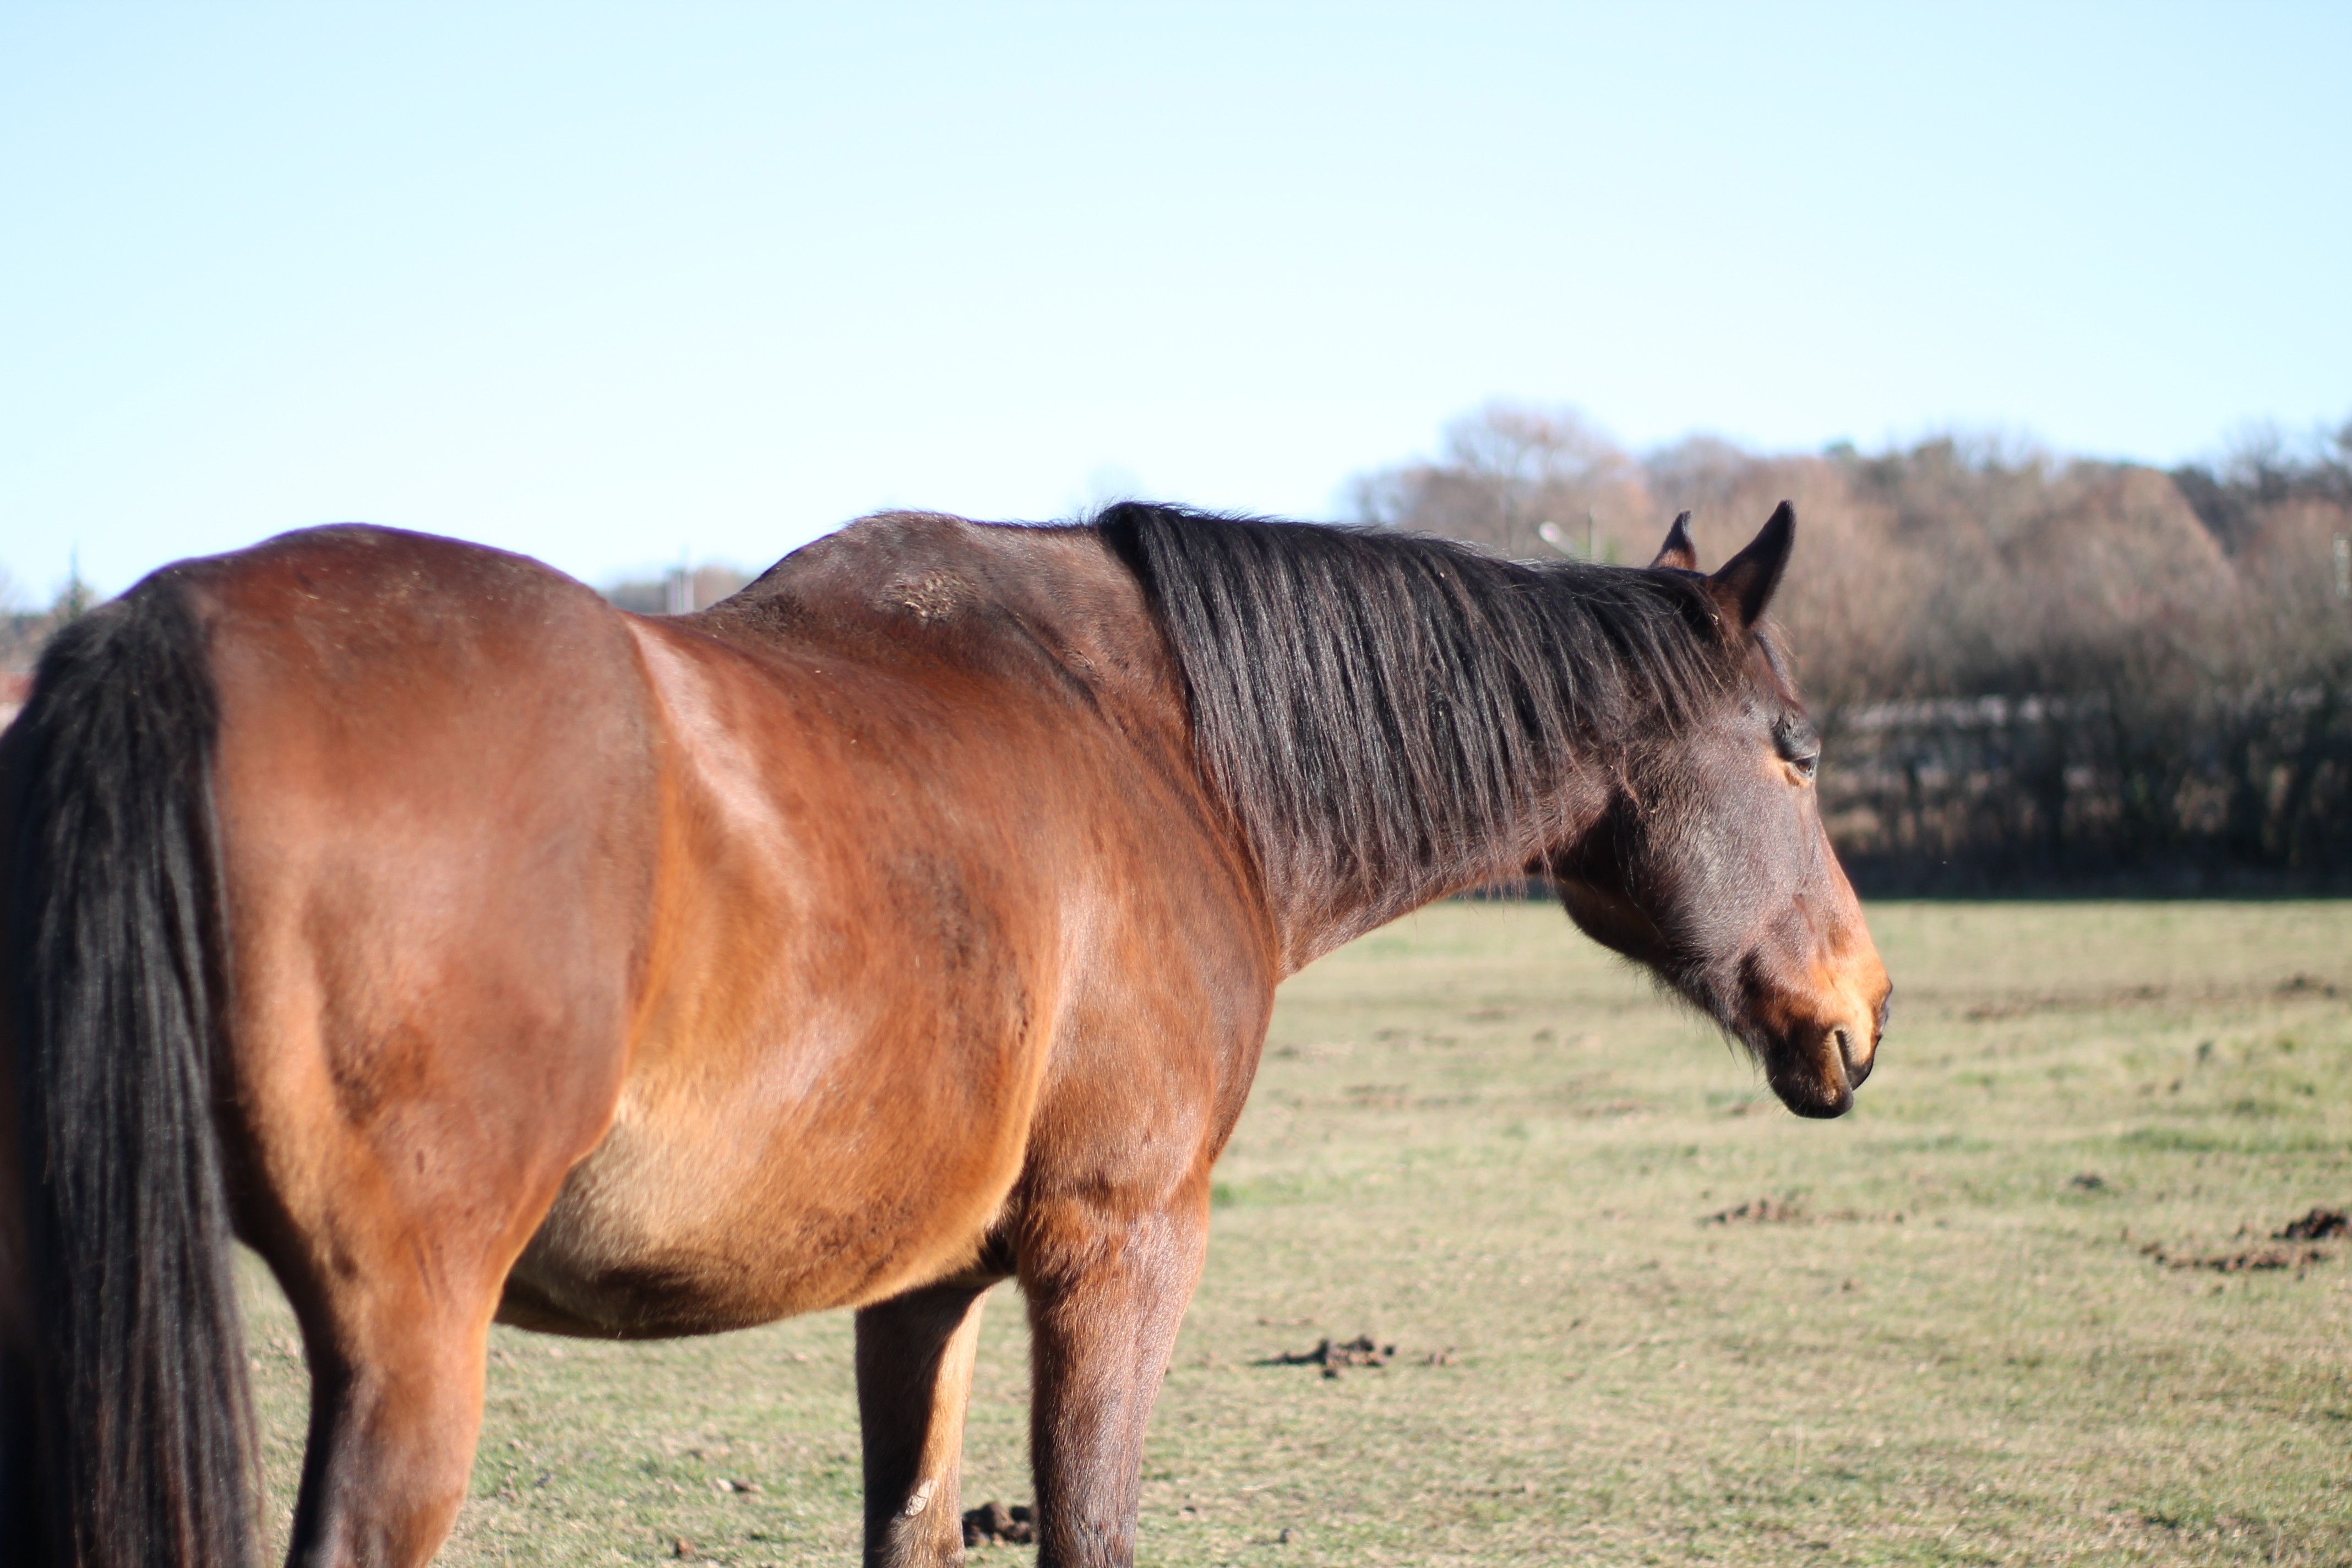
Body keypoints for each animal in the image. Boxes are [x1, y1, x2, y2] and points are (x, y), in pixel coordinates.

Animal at [0, 503, 1891, 1568]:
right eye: (1795, 748)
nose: (1860, 1012)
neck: (1160, 738)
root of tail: (155, 633)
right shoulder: (1120, 1248)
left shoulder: (918, 1290)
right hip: (406, 1351)